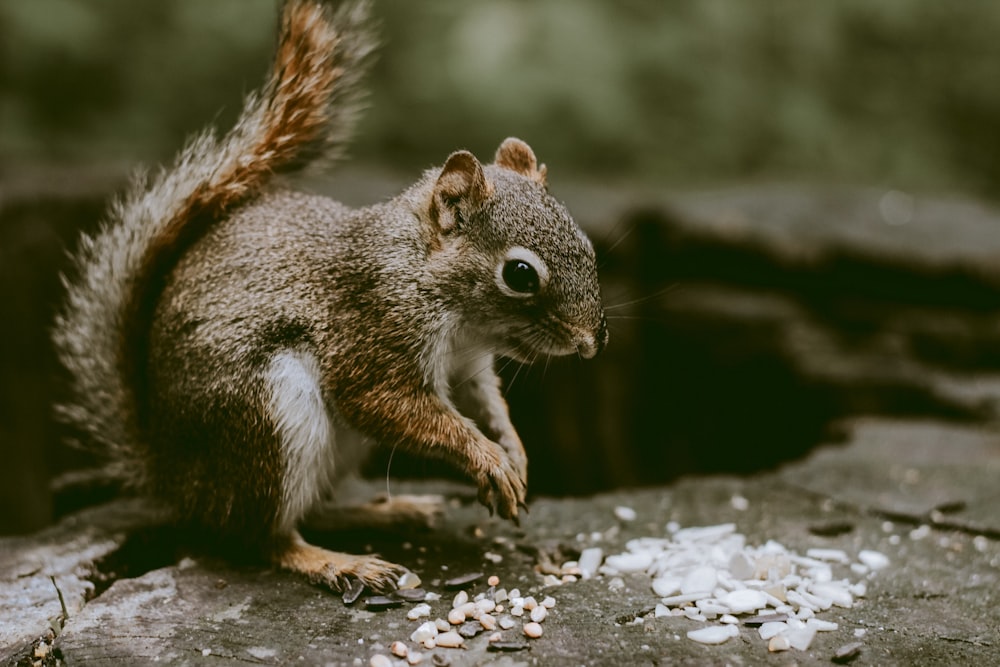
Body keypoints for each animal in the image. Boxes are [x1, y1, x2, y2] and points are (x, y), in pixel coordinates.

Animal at [50, 0, 604, 596]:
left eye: (586, 243)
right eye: (519, 274)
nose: (590, 343)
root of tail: (173, 477)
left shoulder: (468, 366)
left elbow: (487, 404)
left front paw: (514, 454)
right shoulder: (375, 328)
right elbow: (388, 404)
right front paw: (490, 460)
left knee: (312, 509)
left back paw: (390, 511)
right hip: (266, 420)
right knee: (260, 536)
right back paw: (339, 562)